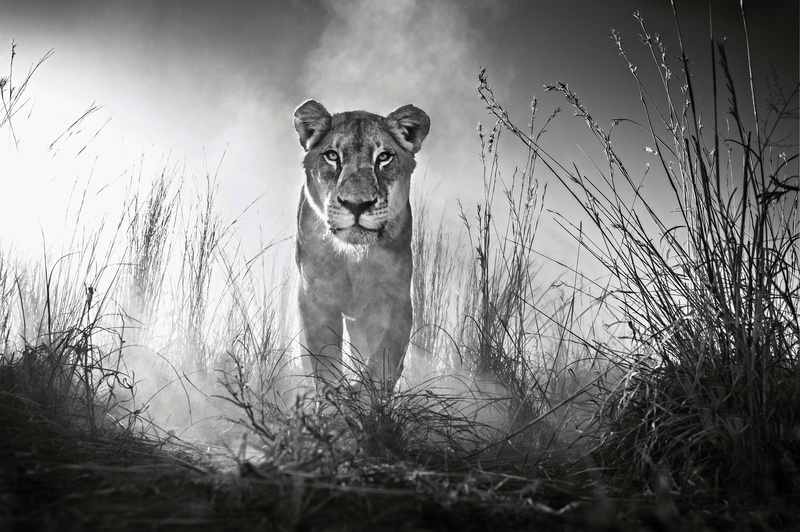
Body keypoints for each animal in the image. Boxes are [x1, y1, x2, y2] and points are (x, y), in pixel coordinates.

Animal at [293, 99, 430, 392]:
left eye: (384, 157)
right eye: (332, 156)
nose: (357, 204)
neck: (353, 259)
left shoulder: (395, 299)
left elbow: (384, 358)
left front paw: (363, 394)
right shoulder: (314, 298)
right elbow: (324, 358)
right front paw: (333, 397)